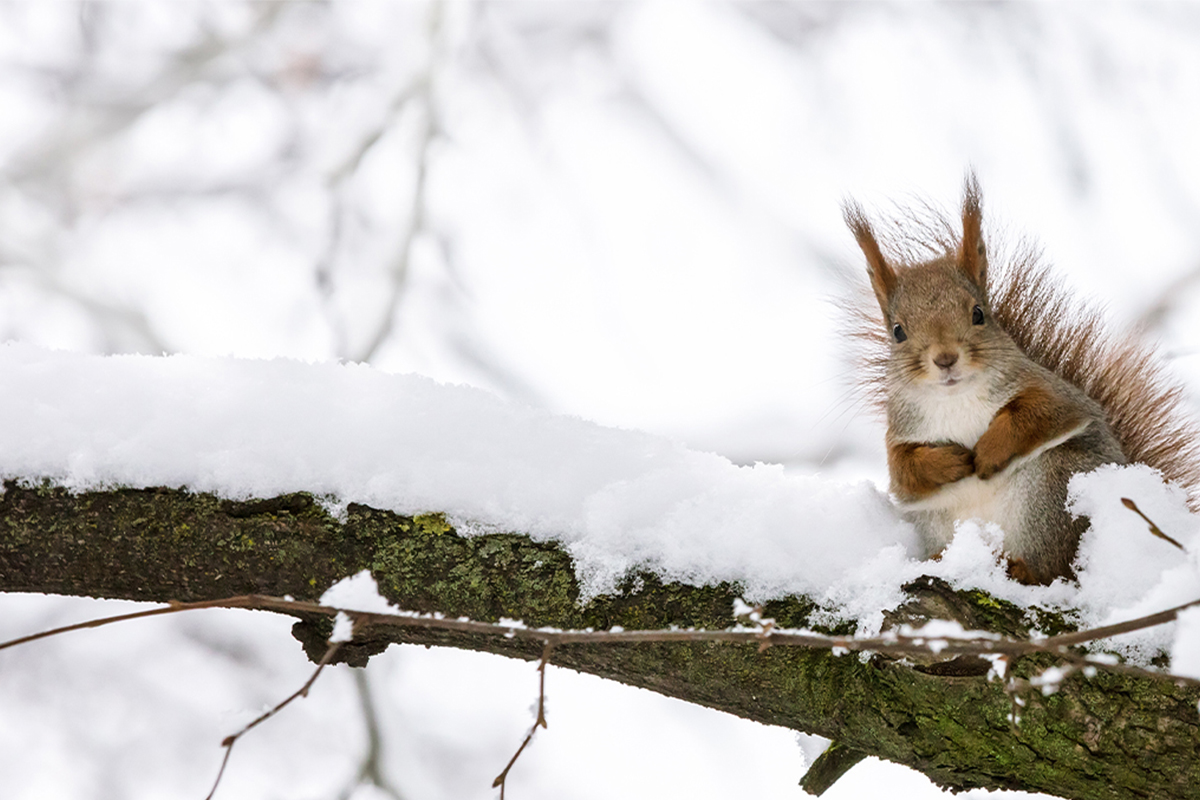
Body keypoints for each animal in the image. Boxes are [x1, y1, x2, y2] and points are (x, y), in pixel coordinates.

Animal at [844, 175, 1200, 585]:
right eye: (898, 331)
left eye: (978, 313)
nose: (945, 358)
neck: (956, 398)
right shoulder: (900, 432)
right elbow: (904, 470)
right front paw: (952, 462)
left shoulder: (1052, 392)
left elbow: (1037, 413)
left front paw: (986, 453)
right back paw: (942, 560)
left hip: (1050, 491)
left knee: (1051, 566)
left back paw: (1021, 567)